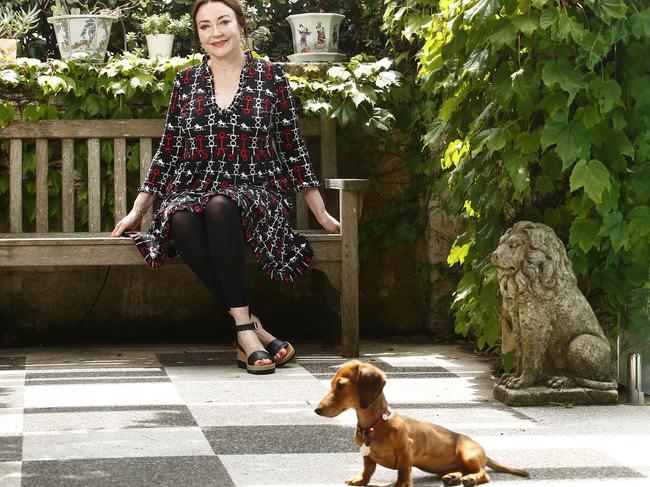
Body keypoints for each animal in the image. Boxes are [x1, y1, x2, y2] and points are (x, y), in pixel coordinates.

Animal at [312, 360, 528, 486]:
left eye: (341, 386)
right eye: (331, 384)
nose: (317, 410)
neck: (375, 425)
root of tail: (483, 451)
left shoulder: (406, 449)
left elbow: (403, 470)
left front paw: (402, 484)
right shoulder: (367, 456)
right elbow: (368, 469)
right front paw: (360, 479)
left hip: (467, 453)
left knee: (482, 473)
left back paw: (469, 479)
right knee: (465, 470)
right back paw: (454, 477)